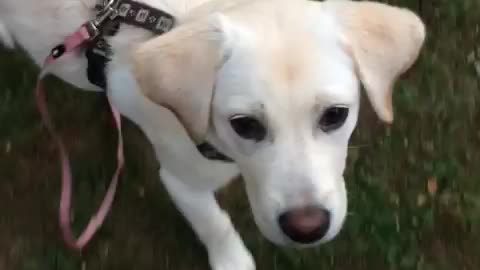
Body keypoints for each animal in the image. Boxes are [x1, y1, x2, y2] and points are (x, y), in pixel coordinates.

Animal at [0, 0, 428, 268]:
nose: (306, 229)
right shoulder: (181, 178)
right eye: (245, 125)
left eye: (335, 115)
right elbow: (213, 222)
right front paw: (232, 260)